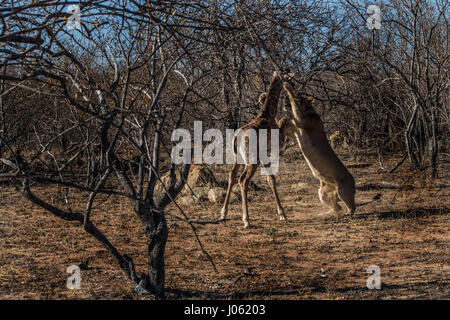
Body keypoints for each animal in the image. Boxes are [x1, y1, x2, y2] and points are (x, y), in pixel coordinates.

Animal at [219, 71, 292, 229]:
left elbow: (271, 179)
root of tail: (238, 137)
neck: (268, 114)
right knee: (243, 180)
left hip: (238, 157)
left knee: (232, 176)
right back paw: (246, 220)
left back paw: (223, 214)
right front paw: (282, 213)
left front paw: (281, 213)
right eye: (289, 79)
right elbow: (271, 179)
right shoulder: (273, 148)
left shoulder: (265, 155)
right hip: (251, 159)